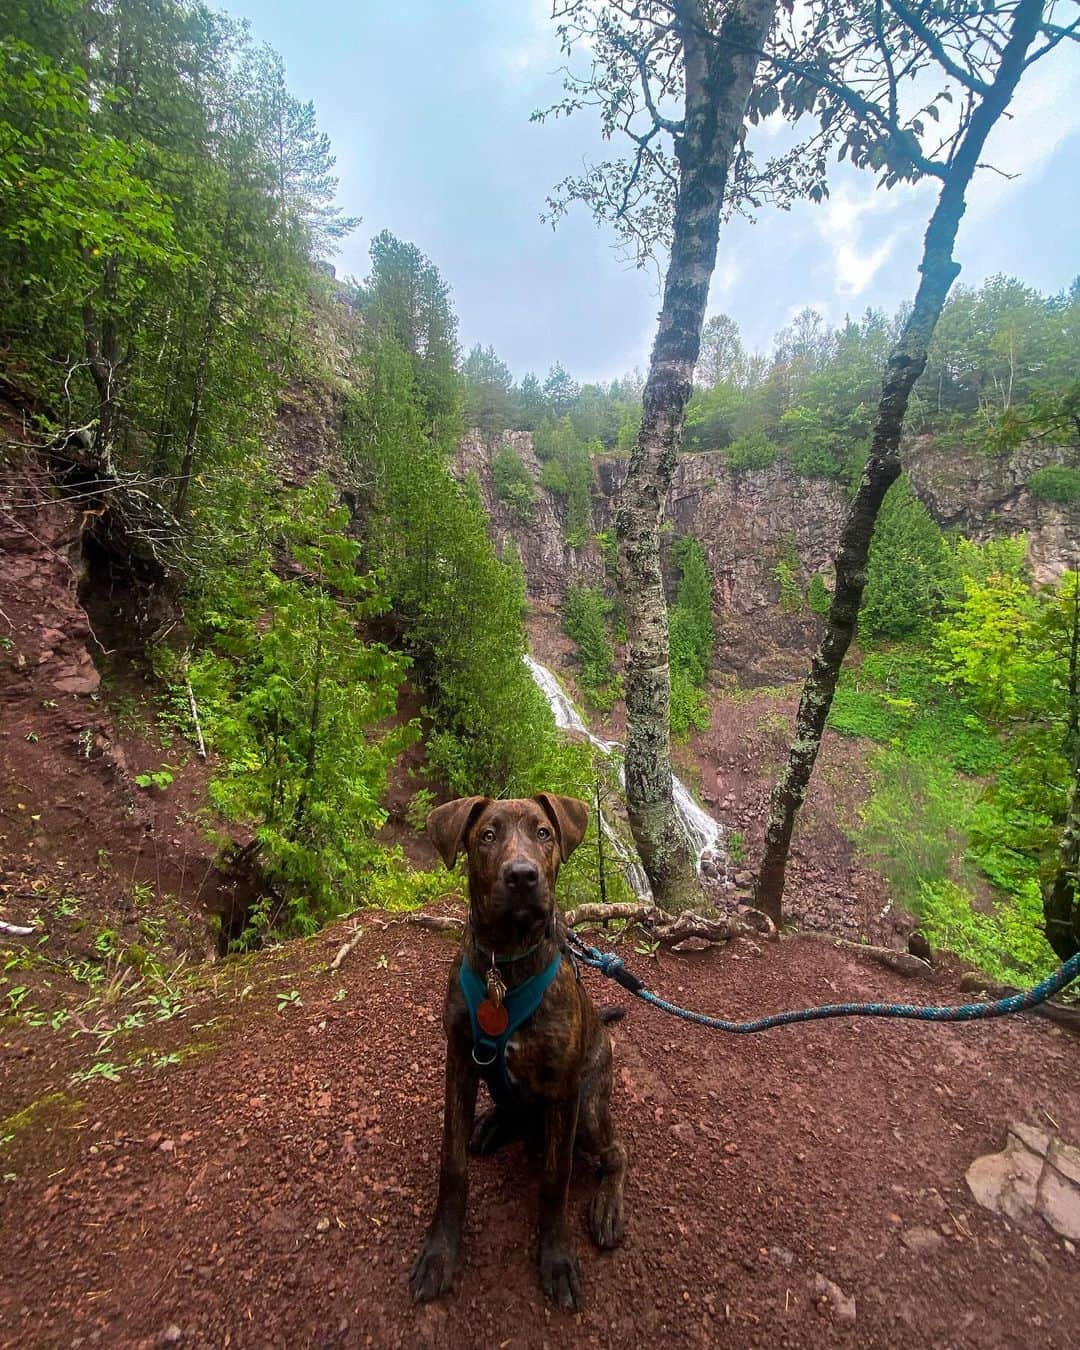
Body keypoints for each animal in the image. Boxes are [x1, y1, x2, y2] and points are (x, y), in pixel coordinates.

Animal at [413, 788, 631, 1306]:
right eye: (487, 836)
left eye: (544, 833)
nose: (522, 876)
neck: (506, 965)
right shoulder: (459, 1062)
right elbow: (453, 1167)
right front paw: (440, 1253)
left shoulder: (565, 1092)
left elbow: (556, 1179)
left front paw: (557, 1259)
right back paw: (495, 1123)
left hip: (589, 1111)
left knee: (616, 1153)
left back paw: (608, 1206)